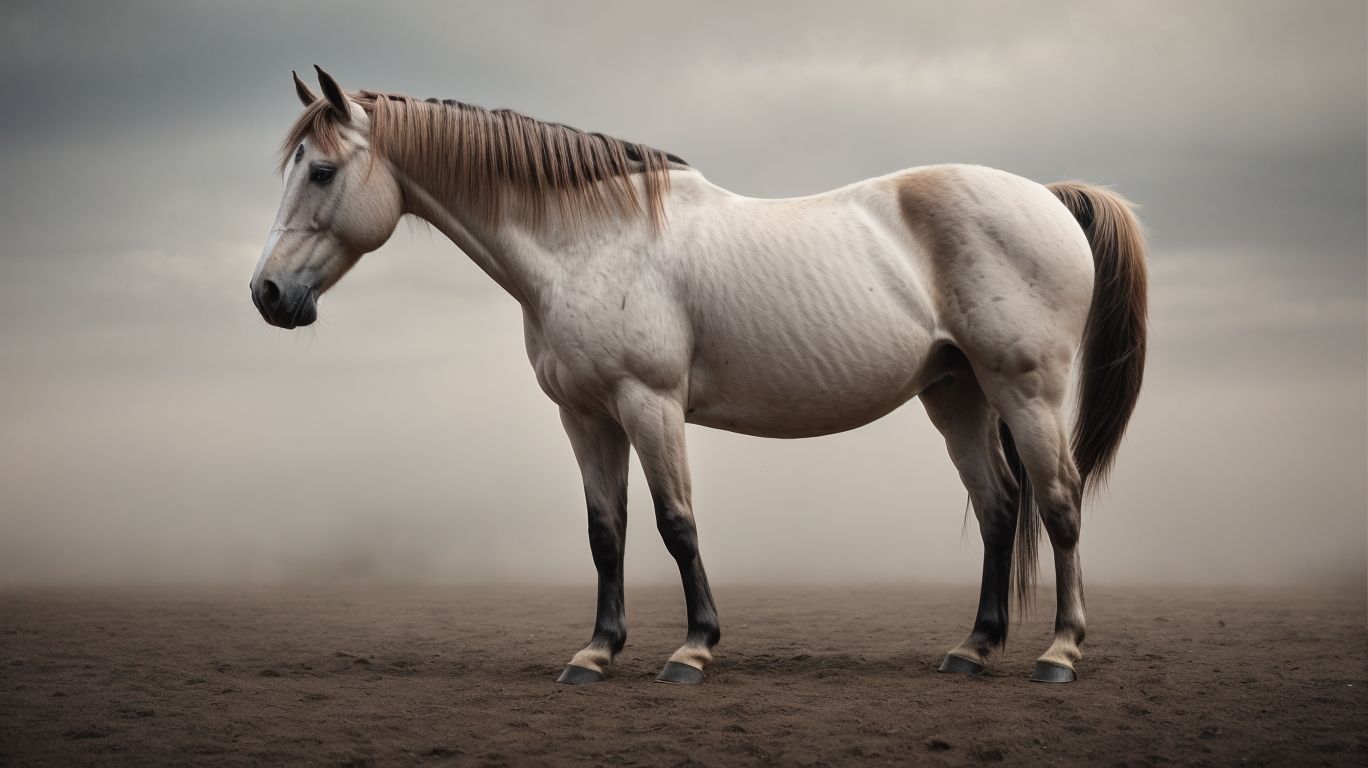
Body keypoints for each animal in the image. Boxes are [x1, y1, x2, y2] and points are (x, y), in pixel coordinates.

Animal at [251, 67, 1147, 686]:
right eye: (287, 169)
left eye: (321, 172)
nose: (267, 294)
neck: (593, 241)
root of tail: (1049, 198)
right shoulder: (585, 416)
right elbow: (605, 531)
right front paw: (596, 652)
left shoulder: (648, 404)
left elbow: (675, 522)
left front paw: (692, 648)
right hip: (955, 394)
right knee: (999, 508)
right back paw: (973, 647)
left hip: (1024, 388)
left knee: (1058, 504)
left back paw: (1061, 651)